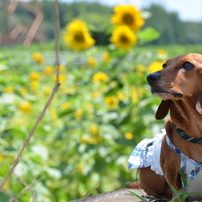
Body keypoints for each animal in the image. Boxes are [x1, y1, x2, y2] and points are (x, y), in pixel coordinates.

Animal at [128, 53, 202, 200]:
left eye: (187, 64)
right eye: (164, 65)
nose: (149, 77)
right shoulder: (171, 170)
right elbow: (177, 193)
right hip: (154, 181)